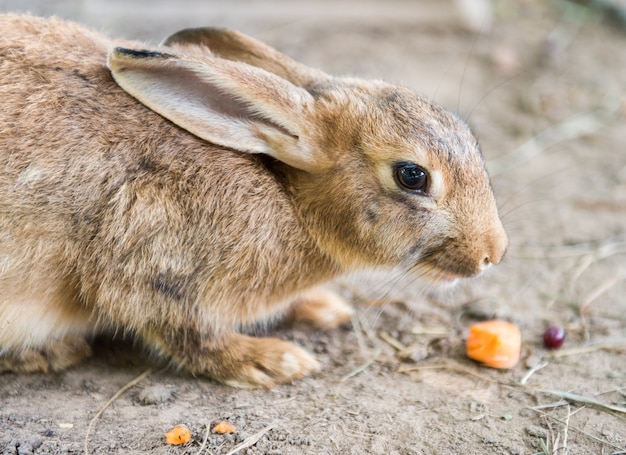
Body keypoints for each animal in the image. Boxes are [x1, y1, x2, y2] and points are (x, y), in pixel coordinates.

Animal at [0, 14, 508, 388]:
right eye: (412, 176)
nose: (493, 253)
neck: (292, 202)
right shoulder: (151, 261)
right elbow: (188, 336)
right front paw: (274, 361)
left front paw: (324, 309)